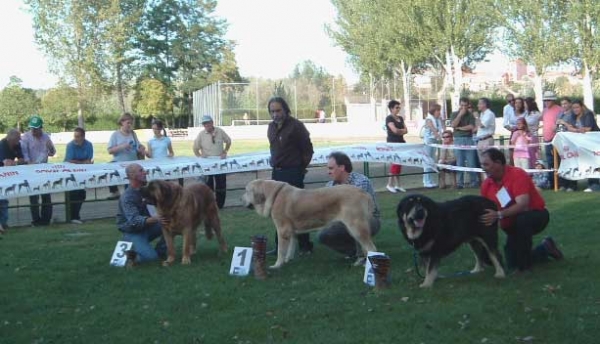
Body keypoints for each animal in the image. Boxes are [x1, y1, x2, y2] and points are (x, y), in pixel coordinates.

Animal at [243, 179, 376, 270]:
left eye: (246, 191)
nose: (241, 199)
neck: (274, 195)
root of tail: (363, 192)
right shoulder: (291, 232)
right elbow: (291, 247)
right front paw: (288, 260)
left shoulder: (282, 231)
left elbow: (281, 250)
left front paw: (277, 265)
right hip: (354, 229)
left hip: (356, 228)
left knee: (371, 248)